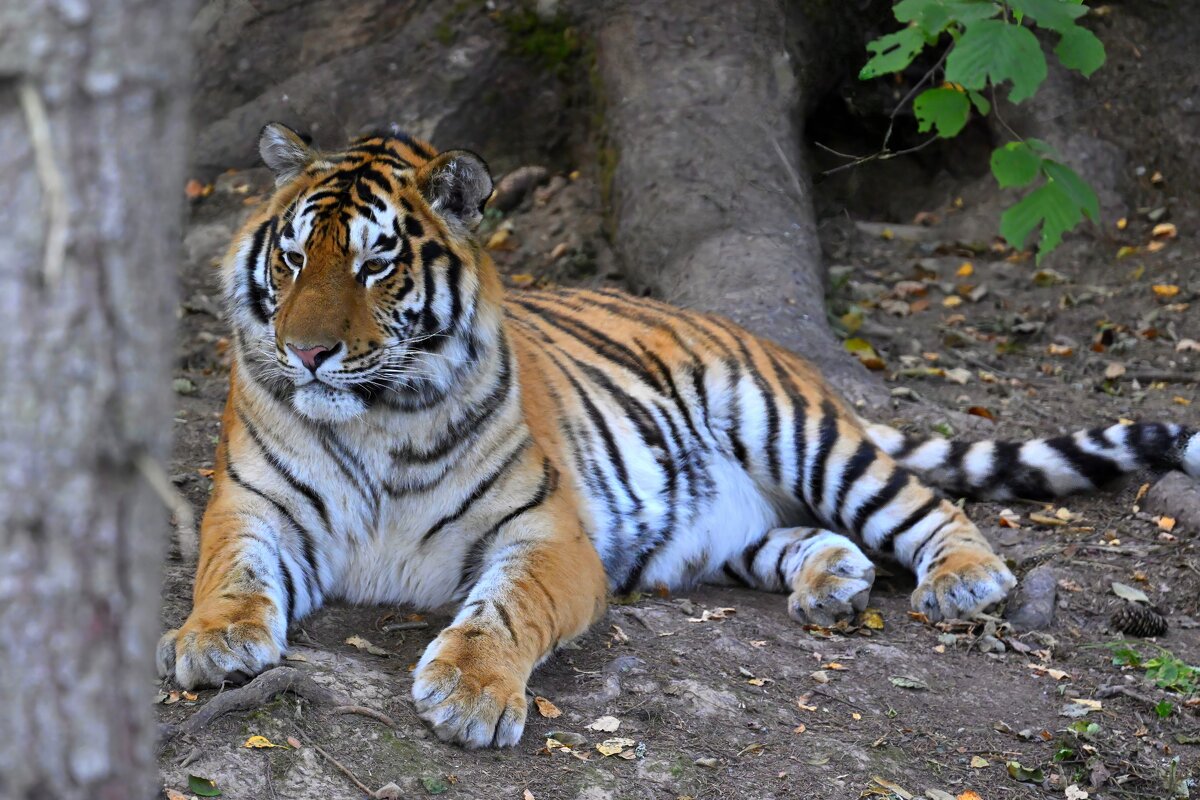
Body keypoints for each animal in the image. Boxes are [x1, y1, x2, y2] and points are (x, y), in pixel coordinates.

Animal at [159, 122, 1200, 748]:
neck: (376, 421)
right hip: (713, 534)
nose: (307, 353)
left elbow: (501, 609)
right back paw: (833, 584)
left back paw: (964, 579)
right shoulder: (250, 508)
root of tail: (750, 334)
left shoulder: (548, 534)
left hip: (800, 433)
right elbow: (231, 573)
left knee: (924, 503)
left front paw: (472, 691)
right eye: (293, 257)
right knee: (812, 538)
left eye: (377, 263)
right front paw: (211, 642)